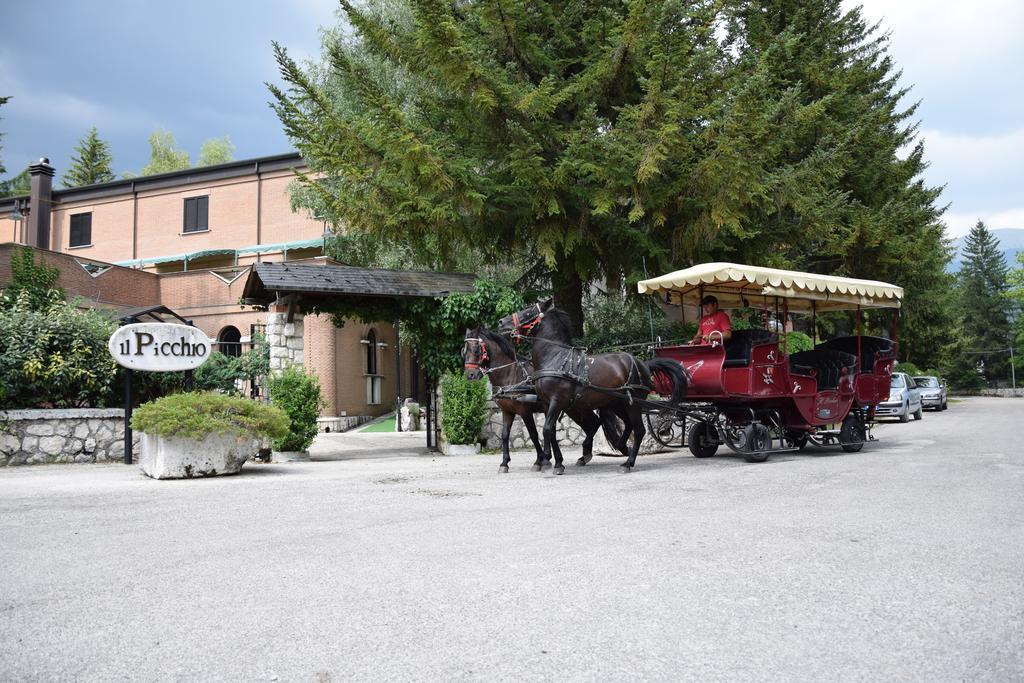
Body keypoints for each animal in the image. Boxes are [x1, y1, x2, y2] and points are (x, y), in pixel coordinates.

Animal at [497, 301, 688, 473]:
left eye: (528, 311)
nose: (501, 322)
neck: (555, 359)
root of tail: (644, 364)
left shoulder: (557, 401)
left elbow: (547, 430)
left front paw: (552, 463)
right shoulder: (545, 403)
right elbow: (550, 432)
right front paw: (553, 461)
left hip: (633, 402)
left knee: (639, 430)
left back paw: (628, 463)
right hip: (618, 403)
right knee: (627, 425)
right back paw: (620, 447)